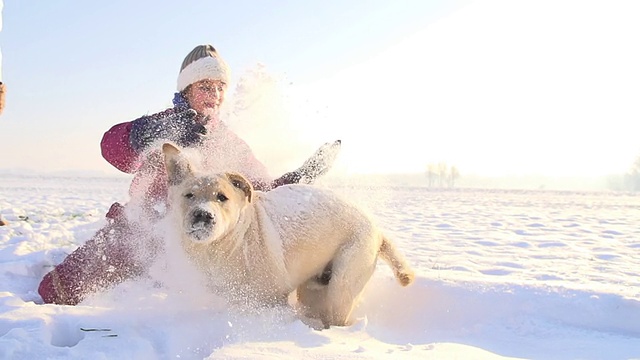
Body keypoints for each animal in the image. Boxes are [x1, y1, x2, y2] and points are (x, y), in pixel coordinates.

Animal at [161, 143, 416, 326]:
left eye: (222, 197)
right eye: (189, 195)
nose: (203, 215)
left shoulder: (272, 299)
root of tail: (377, 229)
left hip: (341, 287)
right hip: (312, 289)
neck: (224, 247)